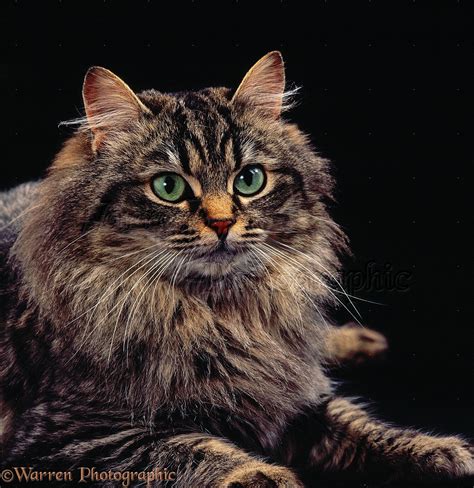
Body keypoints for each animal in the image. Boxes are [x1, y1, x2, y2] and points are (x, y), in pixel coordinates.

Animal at [0, 51, 472, 486]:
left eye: (249, 180)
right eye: (168, 187)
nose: (223, 222)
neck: (224, 316)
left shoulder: (295, 394)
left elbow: (361, 423)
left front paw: (444, 450)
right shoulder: (75, 431)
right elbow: (191, 448)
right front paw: (264, 475)